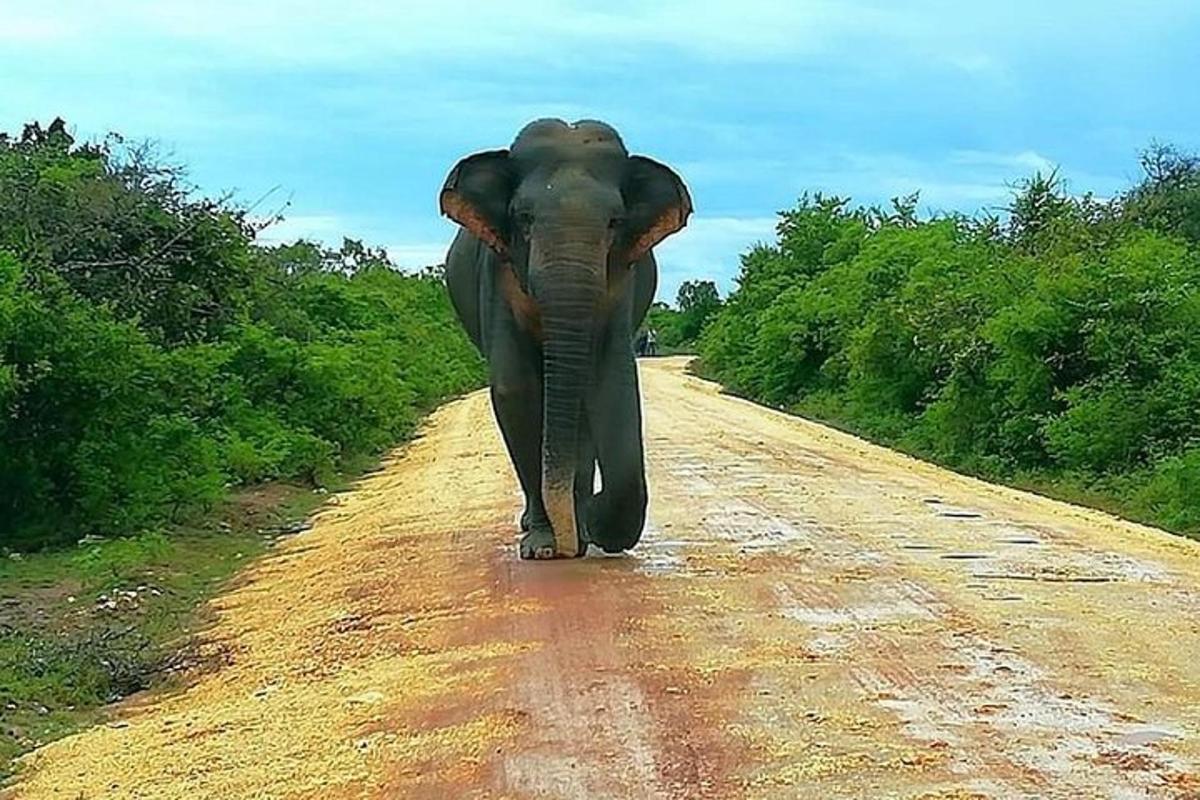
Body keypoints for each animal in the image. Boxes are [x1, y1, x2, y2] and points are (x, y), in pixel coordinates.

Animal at [439, 118, 696, 561]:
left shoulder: (620, 280)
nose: (590, 510)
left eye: (614, 223)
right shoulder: (498, 271)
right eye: (523, 218)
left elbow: (609, 379)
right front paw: (543, 547)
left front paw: (588, 524)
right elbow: (516, 388)